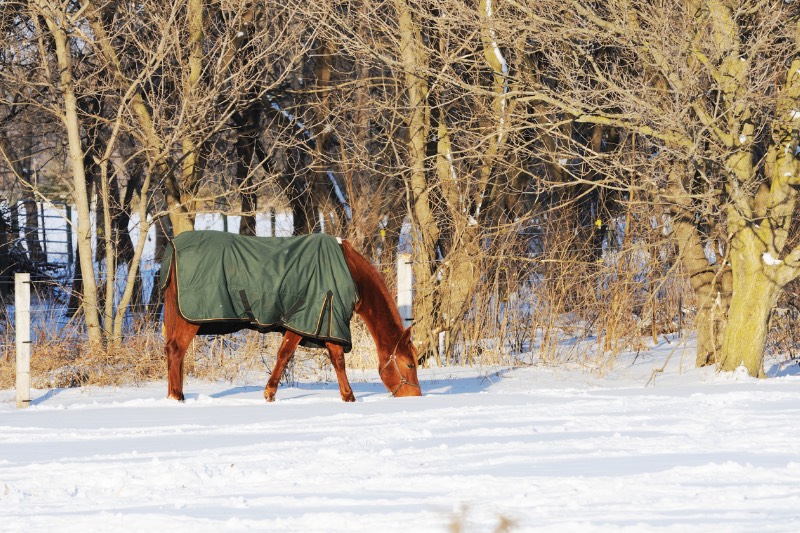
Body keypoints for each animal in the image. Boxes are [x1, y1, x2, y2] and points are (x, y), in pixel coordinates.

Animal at [164, 239, 424, 402]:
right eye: (410, 365)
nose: (415, 397)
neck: (351, 273)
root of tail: (175, 248)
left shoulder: (319, 321)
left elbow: (327, 358)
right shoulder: (312, 319)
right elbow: (296, 355)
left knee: (172, 352)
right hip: (190, 320)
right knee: (176, 351)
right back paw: (176, 396)